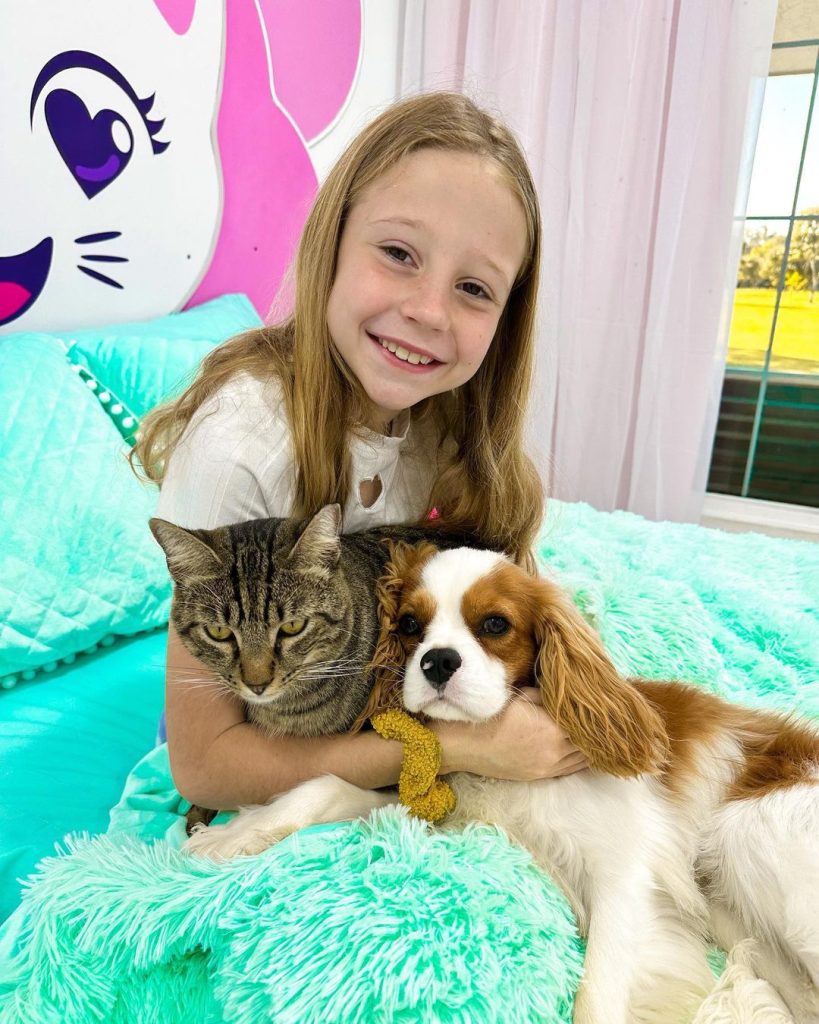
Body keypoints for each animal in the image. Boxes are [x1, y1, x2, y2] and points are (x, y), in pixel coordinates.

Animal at [185, 544, 818, 1024]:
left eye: (495, 625)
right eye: (410, 626)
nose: (437, 661)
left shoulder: (626, 875)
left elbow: (597, 994)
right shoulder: (435, 806)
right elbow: (323, 785)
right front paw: (231, 835)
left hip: (747, 835)